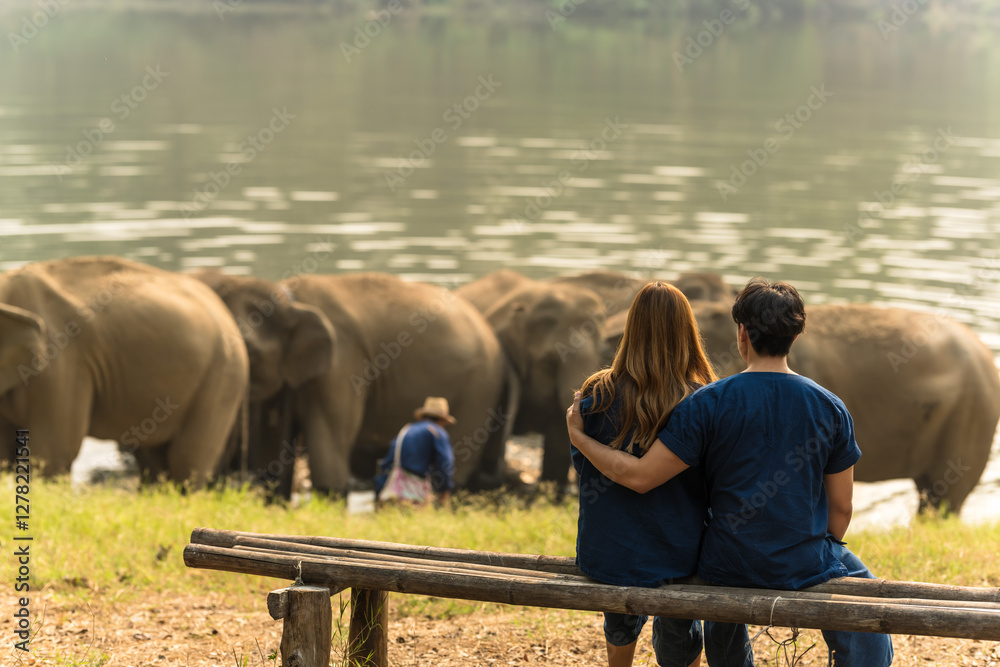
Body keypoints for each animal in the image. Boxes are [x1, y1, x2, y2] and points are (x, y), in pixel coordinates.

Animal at [199, 271, 514, 495]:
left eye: (249, 351)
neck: (291, 300)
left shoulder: (342, 362)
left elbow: (328, 452)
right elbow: (271, 451)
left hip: (478, 391)